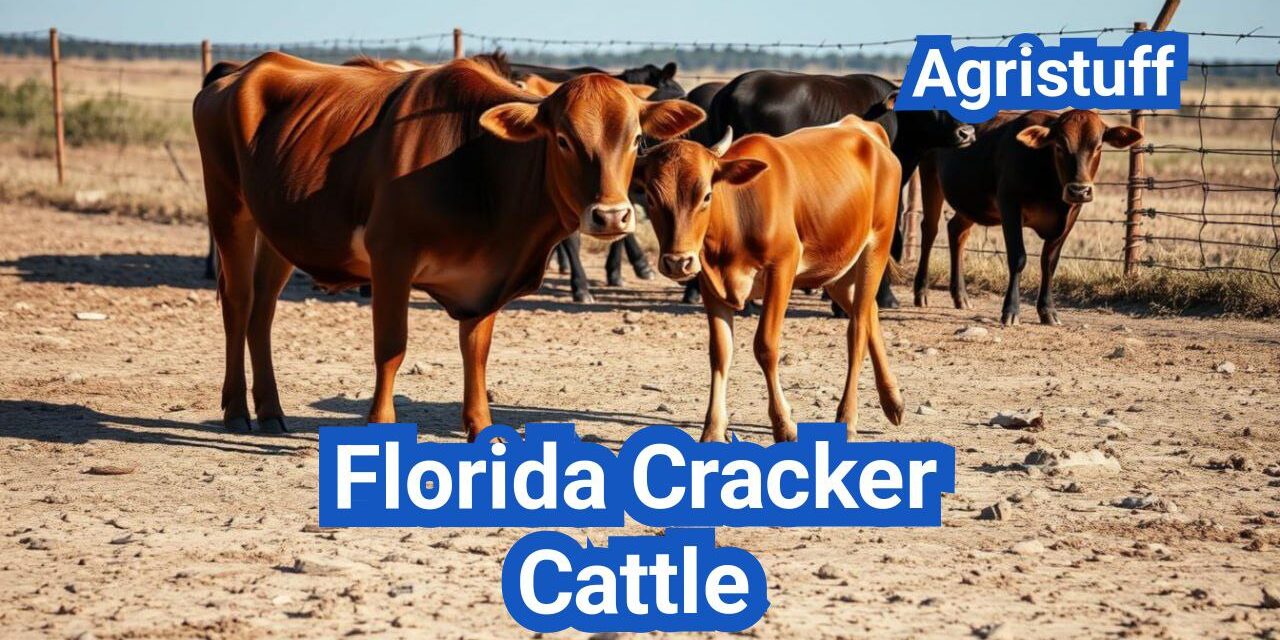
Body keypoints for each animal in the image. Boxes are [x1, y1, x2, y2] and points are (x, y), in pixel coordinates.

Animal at [193, 52, 703, 439]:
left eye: (636, 139)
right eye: (562, 139)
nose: (612, 215)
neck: (477, 165)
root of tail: (242, 69)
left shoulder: (486, 278)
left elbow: (475, 350)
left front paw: (481, 427)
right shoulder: (391, 256)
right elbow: (391, 347)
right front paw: (381, 426)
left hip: (278, 227)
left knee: (263, 309)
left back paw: (271, 410)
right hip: (229, 206)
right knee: (238, 302)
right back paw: (236, 410)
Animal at [633, 120, 904, 443]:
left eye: (707, 195)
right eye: (651, 197)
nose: (678, 262)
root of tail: (863, 127)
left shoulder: (783, 267)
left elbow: (765, 345)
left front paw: (783, 425)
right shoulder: (709, 283)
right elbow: (720, 352)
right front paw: (713, 429)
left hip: (875, 248)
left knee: (858, 330)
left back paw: (848, 418)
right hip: (837, 268)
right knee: (869, 312)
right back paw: (893, 400)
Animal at [915, 109, 1142, 326]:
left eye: (1098, 147)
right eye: (1059, 146)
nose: (1079, 190)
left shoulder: (1071, 215)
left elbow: (1049, 262)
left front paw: (1048, 311)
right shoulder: (1009, 204)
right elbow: (1018, 258)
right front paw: (1011, 310)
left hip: (971, 201)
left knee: (957, 231)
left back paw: (961, 296)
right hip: (929, 173)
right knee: (929, 230)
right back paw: (921, 292)